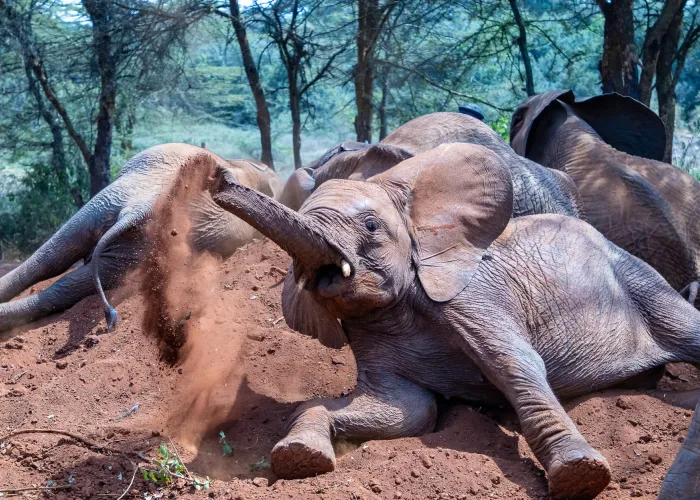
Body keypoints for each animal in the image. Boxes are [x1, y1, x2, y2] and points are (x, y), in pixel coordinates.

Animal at [211, 142, 700, 499]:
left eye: (370, 226)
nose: (218, 179)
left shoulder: (471, 297)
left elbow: (515, 365)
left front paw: (580, 476)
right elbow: (408, 410)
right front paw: (299, 457)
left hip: (638, 277)